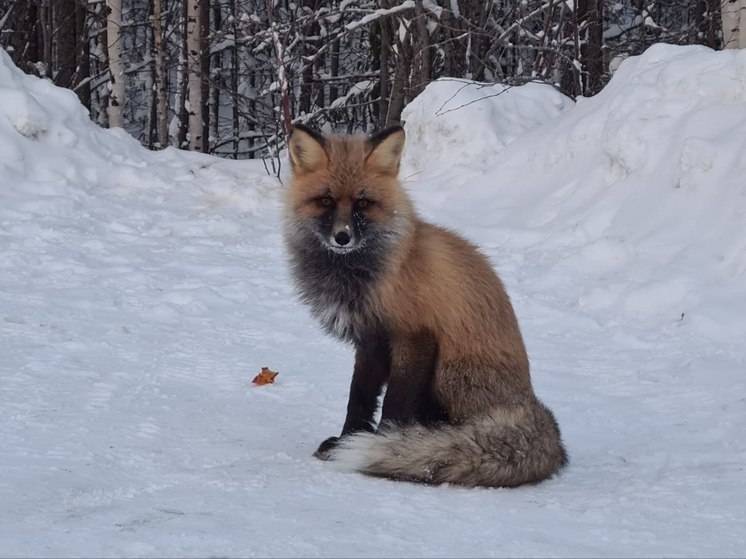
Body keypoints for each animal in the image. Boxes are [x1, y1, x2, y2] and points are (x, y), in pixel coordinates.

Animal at [282, 124, 568, 488]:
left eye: (363, 203)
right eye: (326, 201)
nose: (342, 237)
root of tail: (530, 403)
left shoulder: (415, 336)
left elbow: (394, 402)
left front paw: (390, 444)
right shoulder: (371, 340)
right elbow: (359, 397)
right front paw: (347, 439)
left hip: (447, 374)